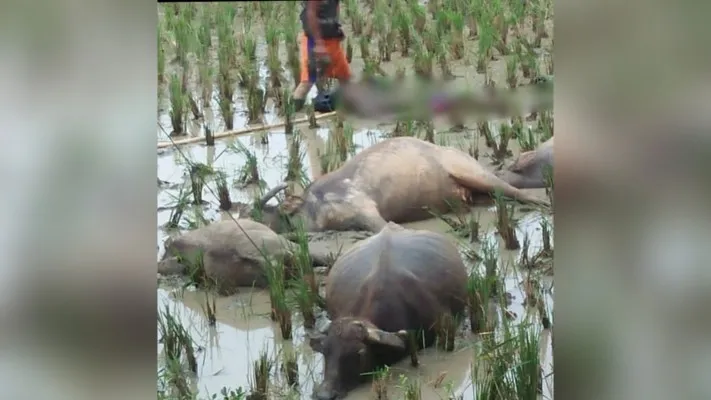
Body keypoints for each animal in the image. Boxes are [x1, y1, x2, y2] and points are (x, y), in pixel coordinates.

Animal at [256, 136, 552, 233]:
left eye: (260, 215)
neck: (313, 206)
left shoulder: (363, 206)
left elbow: (383, 226)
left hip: (472, 172)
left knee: (513, 190)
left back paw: (542, 202)